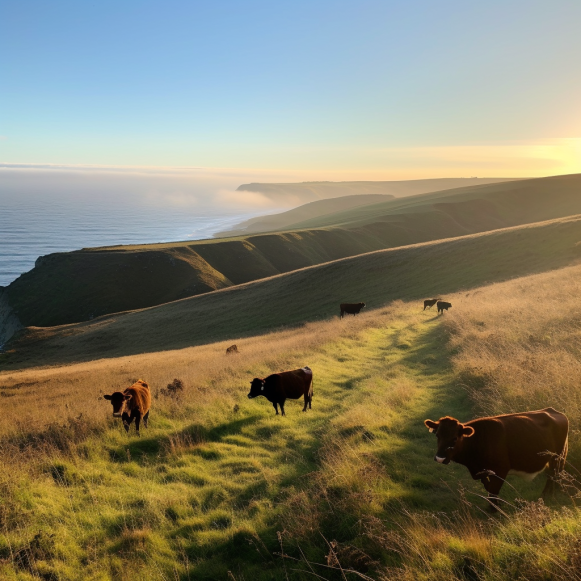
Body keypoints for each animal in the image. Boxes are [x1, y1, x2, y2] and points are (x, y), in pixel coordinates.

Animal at [422, 406, 568, 510]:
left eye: (454, 438)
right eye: (437, 435)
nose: (440, 458)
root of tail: (552, 410)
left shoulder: (501, 469)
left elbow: (493, 489)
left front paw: (494, 509)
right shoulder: (481, 470)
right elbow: (488, 487)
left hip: (557, 457)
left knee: (553, 475)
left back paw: (545, 496)